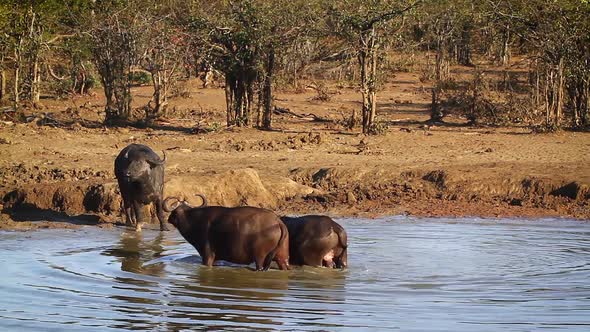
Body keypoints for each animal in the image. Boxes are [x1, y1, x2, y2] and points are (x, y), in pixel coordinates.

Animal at [164, 196, 292, 272]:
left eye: (175, 212)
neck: (193, 220)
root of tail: (278, 221)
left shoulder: (207, 255)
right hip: (282, 257)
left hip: (260, 258)